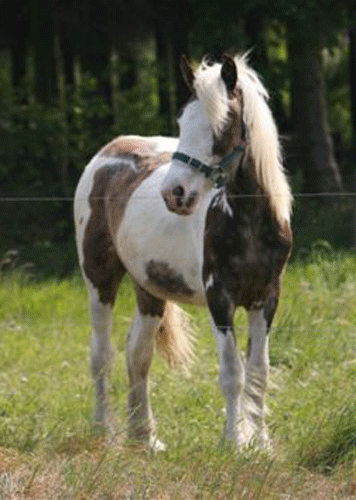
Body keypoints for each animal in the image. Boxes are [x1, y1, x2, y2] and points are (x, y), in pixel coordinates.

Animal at [74, 52, 292, 452]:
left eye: (222, 125)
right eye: (182, 122)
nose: (174, 193)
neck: (248, 220)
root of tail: (108, 152)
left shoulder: (266, 298)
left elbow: (259, 371)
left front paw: (261, 444)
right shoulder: (220, 298)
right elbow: (233, 373)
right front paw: (234, 442)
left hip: (149, 290)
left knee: (138, 354)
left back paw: (145, 437)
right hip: (99, 279)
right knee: (102, 354)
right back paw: (104, 431)